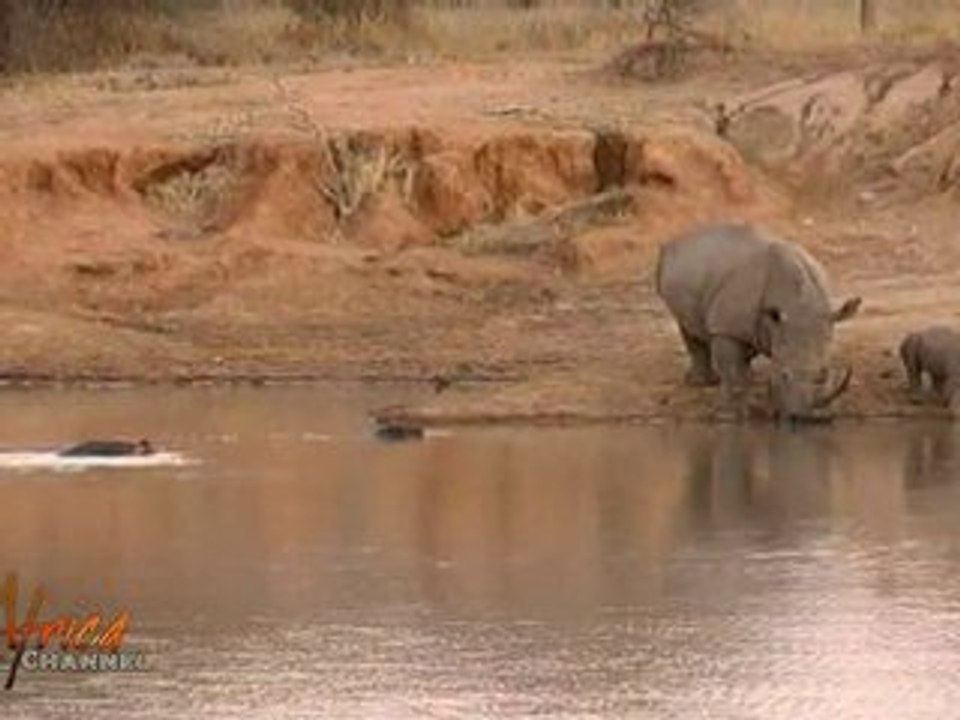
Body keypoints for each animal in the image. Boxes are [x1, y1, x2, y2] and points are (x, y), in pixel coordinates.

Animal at [655, 223, 861, 422]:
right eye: (784, 375)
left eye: (825, 373)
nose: (814, 418)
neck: (798, 306)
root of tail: (683, 237)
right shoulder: (727, 329)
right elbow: (732, 373)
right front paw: (728, 417)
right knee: (689, 327)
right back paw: (703, 383)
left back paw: (747, 377)